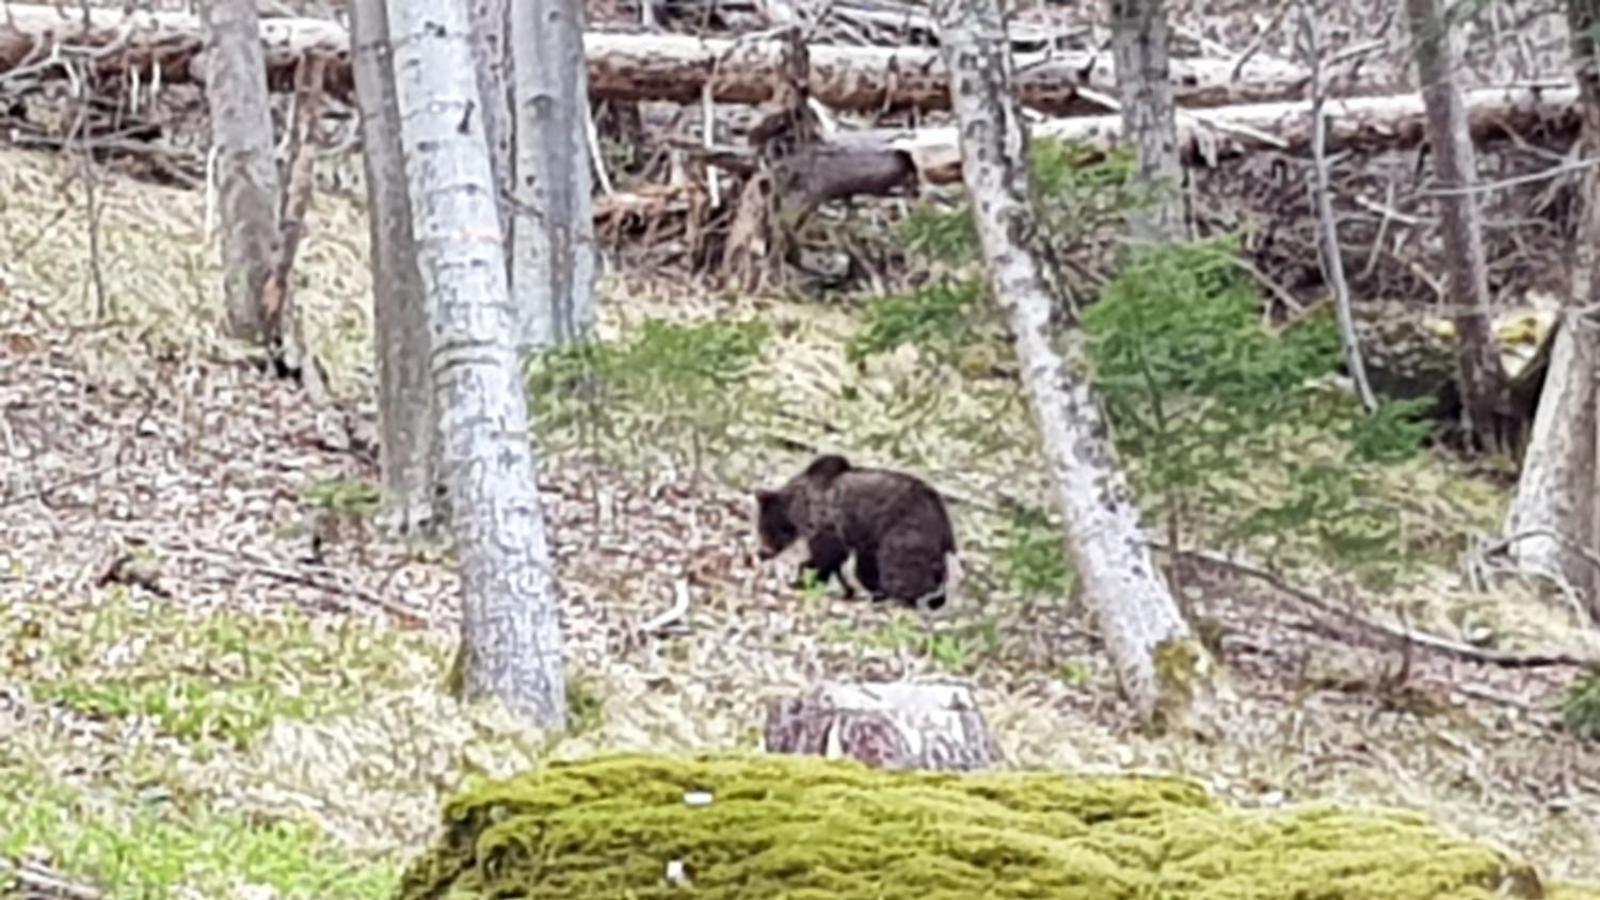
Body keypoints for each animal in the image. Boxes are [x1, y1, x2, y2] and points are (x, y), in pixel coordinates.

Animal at [752, 451, 953, 605]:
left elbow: (828, 551)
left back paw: (903, 597)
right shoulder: (864, 538)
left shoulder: (825, 519)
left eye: (764, 528)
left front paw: (804, 578)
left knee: (899, 565)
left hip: (906, 531)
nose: (762, 553)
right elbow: (856, 563)